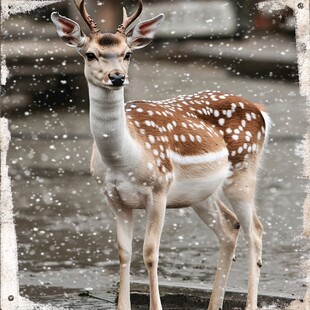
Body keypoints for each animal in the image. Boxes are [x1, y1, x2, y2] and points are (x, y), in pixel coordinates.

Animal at [50, 1, 272, 308]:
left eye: (128, 54)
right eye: (90, 54)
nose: (117, 76)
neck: (124, 159)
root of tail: (260, 110)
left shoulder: (159, 189)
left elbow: (150, 252)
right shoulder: (113, 197)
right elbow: (123, 252)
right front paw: (122, 304)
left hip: (243, 170)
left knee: (256, 230)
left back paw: (249, 301)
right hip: (202, 194)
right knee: (230, 229)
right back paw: (214, 303)